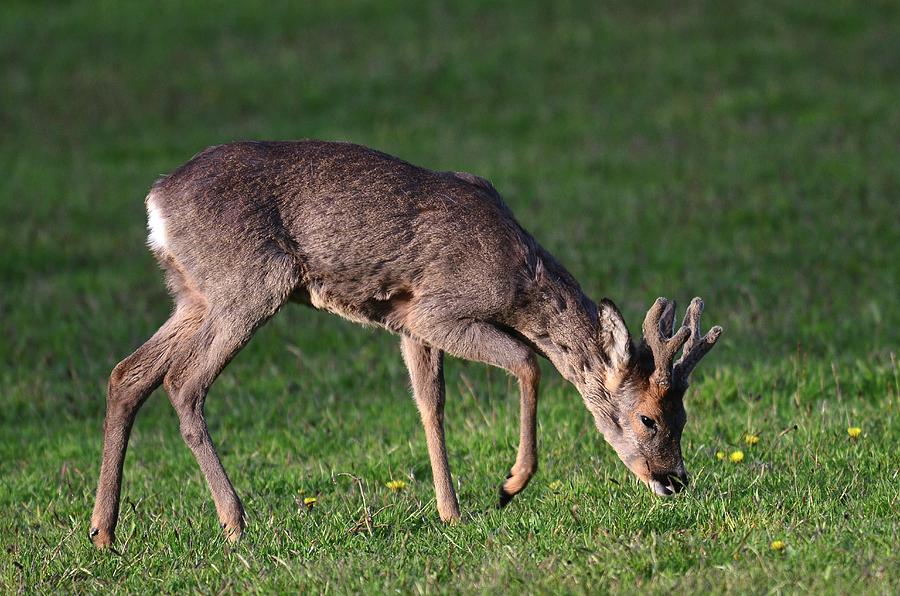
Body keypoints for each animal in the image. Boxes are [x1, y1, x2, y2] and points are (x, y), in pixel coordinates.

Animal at [91, 139, 724, 544]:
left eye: (684, 415)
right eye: (648, 418)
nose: (674, 479)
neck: (518, 279)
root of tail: (156, 204)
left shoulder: (407, 323)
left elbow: (430, 403)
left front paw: (451, 513)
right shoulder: (435, 309)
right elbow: (528, 360)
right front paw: (509, 485)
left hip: (193, 295)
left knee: (129, 373)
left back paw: (103, 531)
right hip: (248, 284)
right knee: (183, 382)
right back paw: (234, 522)